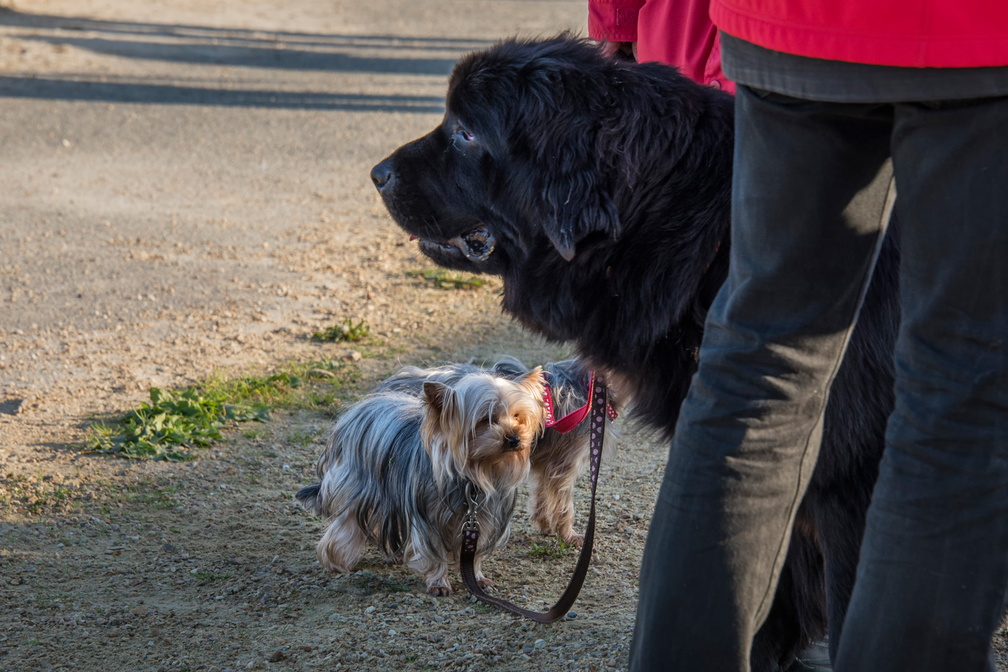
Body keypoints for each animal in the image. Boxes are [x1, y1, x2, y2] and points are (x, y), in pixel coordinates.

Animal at [294, 368, 544, 592]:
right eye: (486, 419)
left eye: (517, 416)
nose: (515, 438)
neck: (475, 474)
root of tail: (356, 410)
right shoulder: (429, 519)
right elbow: (433, 551)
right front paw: (439, 583)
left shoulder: (484, 517)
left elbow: (474, 552)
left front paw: (477, 577)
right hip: (358, 487)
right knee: (347, 524)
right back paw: (335, 562)